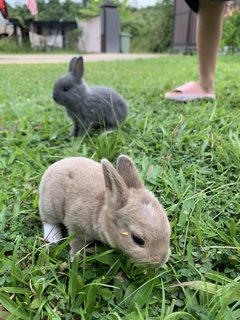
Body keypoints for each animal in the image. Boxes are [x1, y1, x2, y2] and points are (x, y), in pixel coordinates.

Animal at [38, 154, 171, 264]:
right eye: (138, 240)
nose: (160, 261)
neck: (101, 209)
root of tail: (54, 167)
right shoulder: (76, 228)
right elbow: (77, 245)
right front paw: (75, 259)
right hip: (49, 205)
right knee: (48, 221)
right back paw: (53, 239)